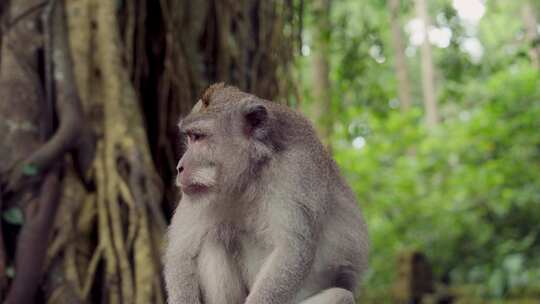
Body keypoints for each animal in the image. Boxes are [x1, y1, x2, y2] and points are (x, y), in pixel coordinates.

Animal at [162, 83, 370, 304]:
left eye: (198, 137)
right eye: (189, 138)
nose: (179, 167)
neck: (249, 177)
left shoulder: (297, 170)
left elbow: (292, 249)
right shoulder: (196, 194)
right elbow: (180, 253)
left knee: (342, 295)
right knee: (213, 239)